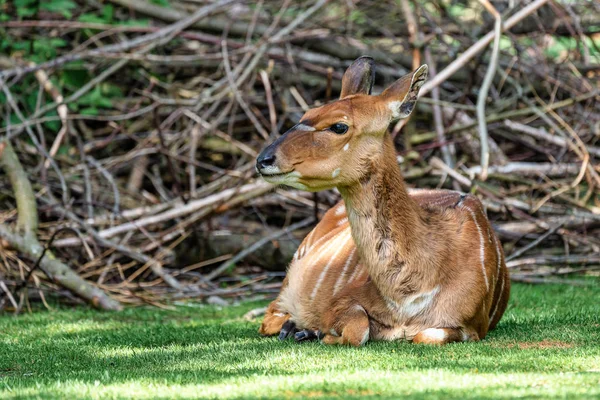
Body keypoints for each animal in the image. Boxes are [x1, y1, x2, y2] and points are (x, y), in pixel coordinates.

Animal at [255, 57, 508, 346]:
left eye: (339, 125)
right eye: (307, 114)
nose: (263, 160)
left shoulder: (472, 326)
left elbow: (426, 335)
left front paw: (316, 332)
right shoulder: (341, 300)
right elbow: (359, 329)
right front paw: (319, 332)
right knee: (269, 316)